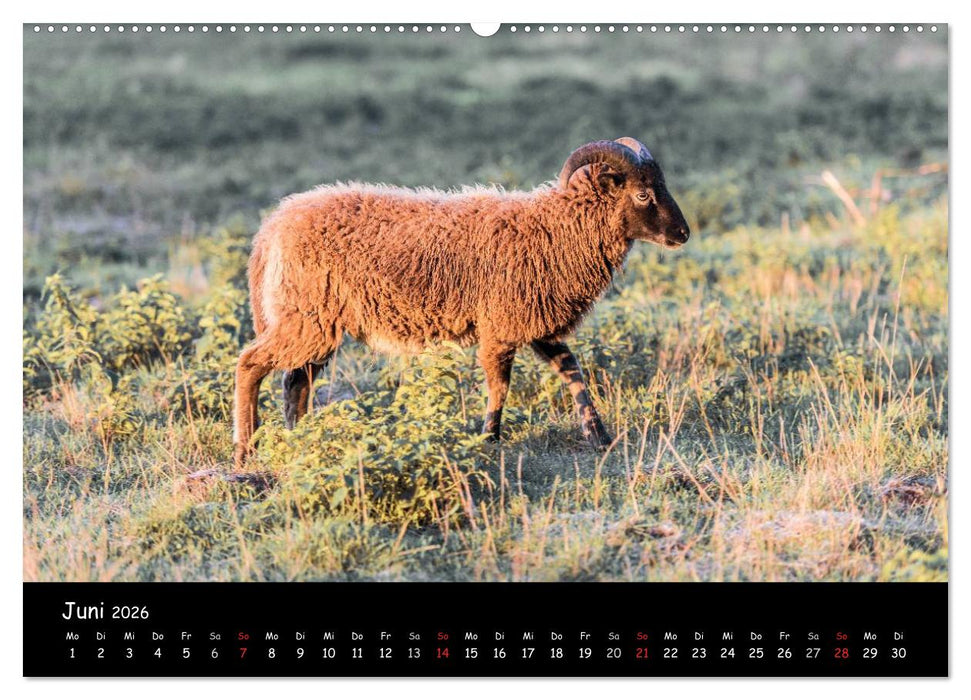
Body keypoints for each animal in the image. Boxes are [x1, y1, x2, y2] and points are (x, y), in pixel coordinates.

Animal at [233, 137, 689, 467]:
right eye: (643, 194)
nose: (683, 234)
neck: (555, 228)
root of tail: (272, 228)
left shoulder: (535, 323)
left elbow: (572, 371)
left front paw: (600, 436)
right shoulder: (500, 327)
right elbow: (499, 387)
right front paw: (490, 438)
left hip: (316, 321)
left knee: (296, 383)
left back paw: (301, 441)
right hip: (305, 317)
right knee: (250, 364)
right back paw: (246, 451)